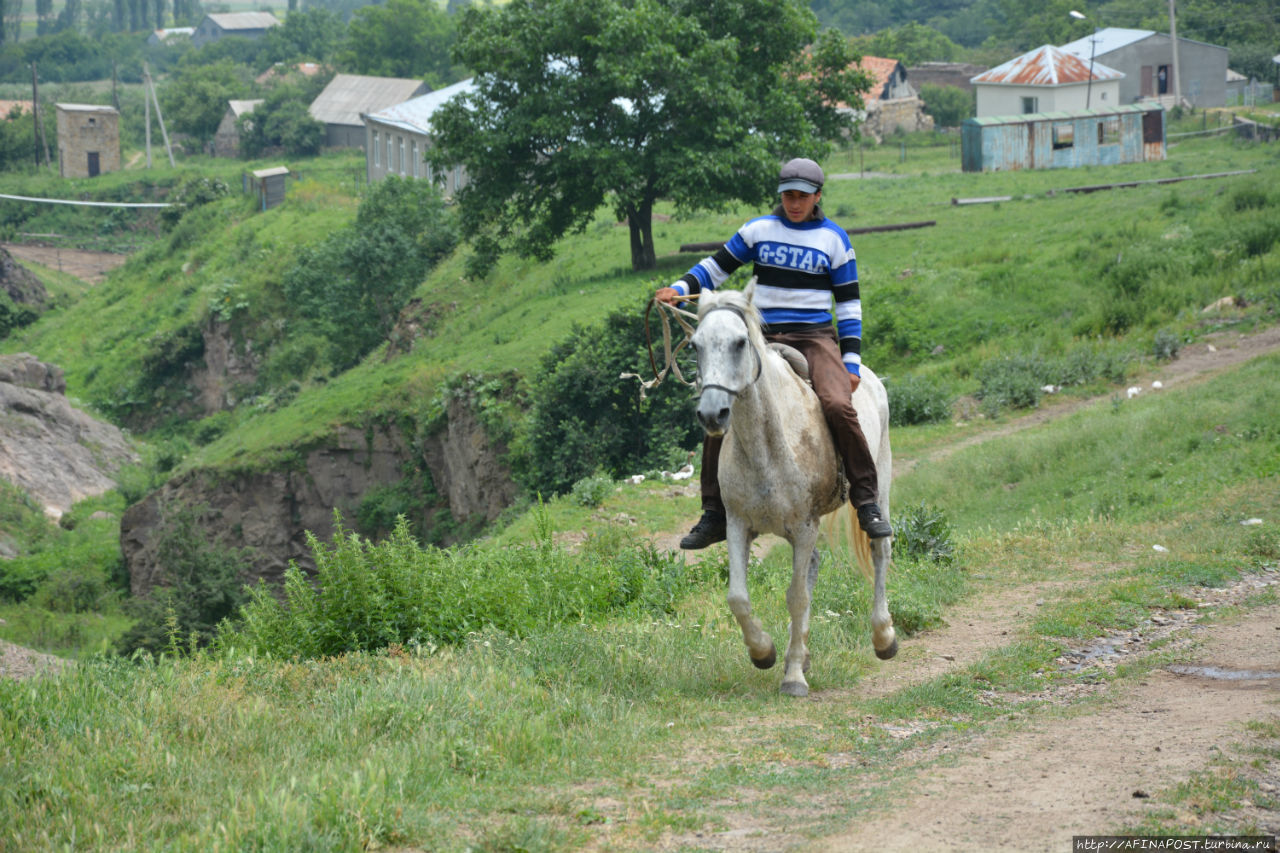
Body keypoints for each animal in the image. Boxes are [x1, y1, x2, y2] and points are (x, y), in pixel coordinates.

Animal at [696, 281, 896, 696]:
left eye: (739, 342)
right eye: (695, 345)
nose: (711, 414)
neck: (767, 447)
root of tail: (870, 378)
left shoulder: (805, 527)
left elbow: (797, 596)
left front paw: (792, 678)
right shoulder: (737, 525)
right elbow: (738, 597)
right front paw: (765, 653)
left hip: (879, 489)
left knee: (880, 549)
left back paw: (884, 637)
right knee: (815, 566)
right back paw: (800, 653)